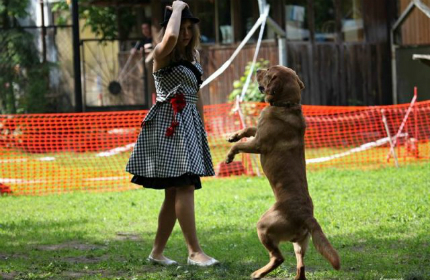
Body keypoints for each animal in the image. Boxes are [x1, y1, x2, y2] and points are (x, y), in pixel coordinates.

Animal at [227, 66, 340, 280]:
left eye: (268, 73)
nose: (257, 69)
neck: (286, 105)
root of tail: (307, 216)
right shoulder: (257, 132)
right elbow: (248, 128)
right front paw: (234, 135)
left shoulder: (258, 144)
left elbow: (240, 145)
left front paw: (229, 155)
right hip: (300, 244)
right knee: (300, 267)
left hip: (263, 226)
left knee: (278, 258)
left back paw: (258, 273)